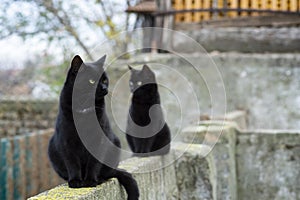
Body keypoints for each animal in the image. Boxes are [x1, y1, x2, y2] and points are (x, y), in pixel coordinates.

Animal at [48, 54, 139, 200]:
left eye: (105, 80)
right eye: (91, 81)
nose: (104, 88)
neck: (84, 108)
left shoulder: (99, 139)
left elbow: (94, 162)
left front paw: (90, 181)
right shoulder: (66, 141)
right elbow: (72, 163)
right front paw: (75, 181)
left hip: (114, 143)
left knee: (109, 173)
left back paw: (99, 179)